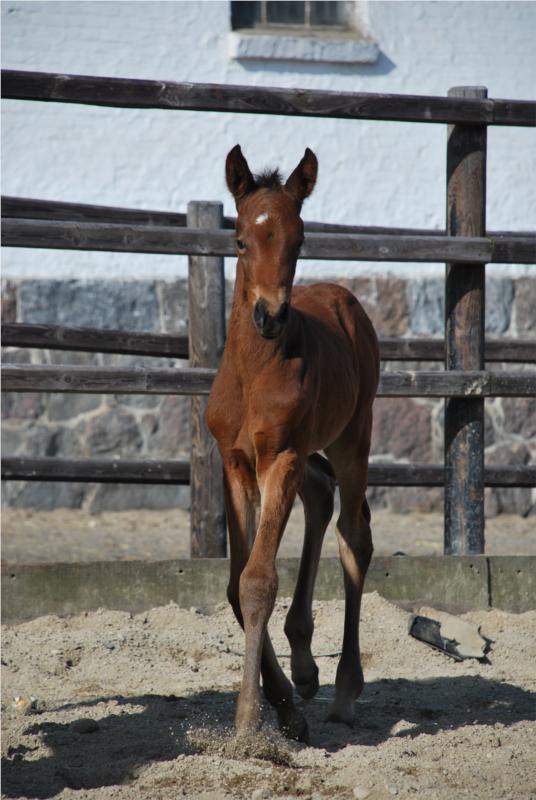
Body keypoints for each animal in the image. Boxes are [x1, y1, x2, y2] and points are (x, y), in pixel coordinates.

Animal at [207, 145, 378, 744]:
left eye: (299, 240)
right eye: (239, 240)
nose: (270, 316)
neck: (254, 371)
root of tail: (344, 298)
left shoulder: (279, 457)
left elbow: (258, 579)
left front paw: (247, 725)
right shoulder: (236, 463)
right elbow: (235, 583)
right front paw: (284, 708)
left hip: (353, 436)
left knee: (355, 537)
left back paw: (345, 692)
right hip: (306, 453)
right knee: (322, 494)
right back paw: (305, 668)